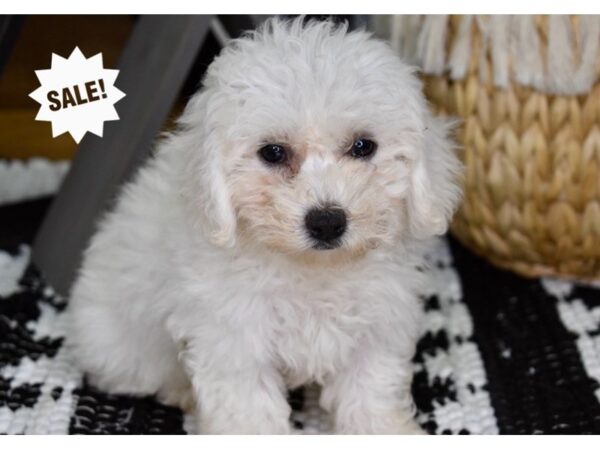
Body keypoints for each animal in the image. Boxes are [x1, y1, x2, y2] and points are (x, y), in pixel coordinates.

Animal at [69, 18, 464, 436]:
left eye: (363, 146)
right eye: (272, 152)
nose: (327, 221)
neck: (312, 271)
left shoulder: (378, 322)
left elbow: (371, 387)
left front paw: (384, 430)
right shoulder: (234, 337)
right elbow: (247, 407)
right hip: (122, 346)